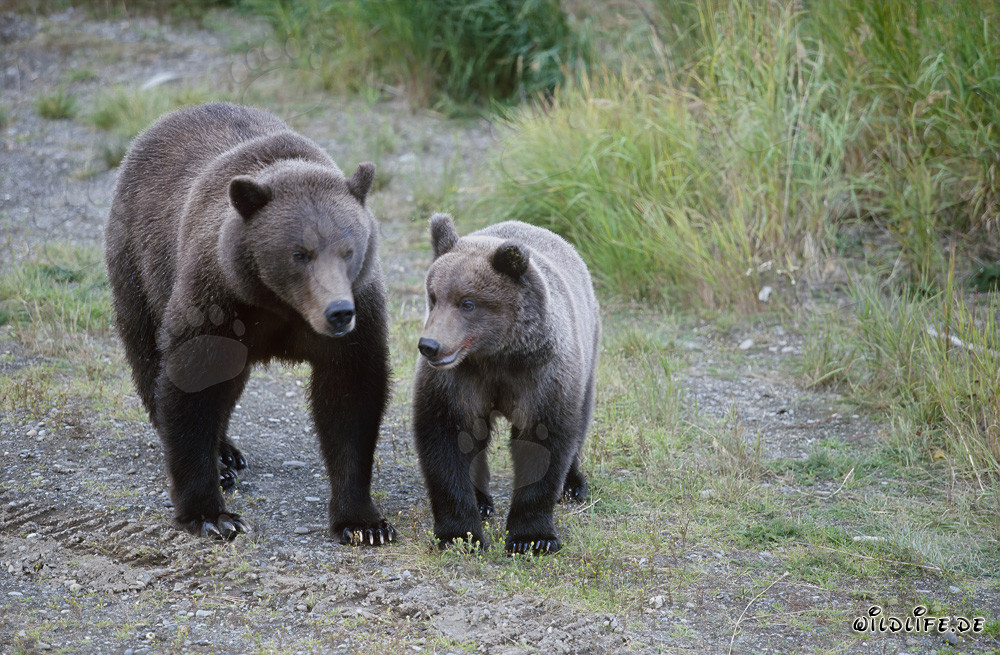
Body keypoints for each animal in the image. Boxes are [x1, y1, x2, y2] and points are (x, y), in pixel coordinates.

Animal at [104, 102, 394, 545]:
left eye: (348, 250)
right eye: (299, 253)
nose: (338, 312)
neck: (279, 304)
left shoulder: (359, 315)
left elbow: (351, 400)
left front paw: (364, 523)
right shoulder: (217, 302)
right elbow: (191, 383)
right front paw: (212, 514)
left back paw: (227, 451)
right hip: (138, 264)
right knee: (147, 355)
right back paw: (221, 459)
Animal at [412, 213, 600, 554]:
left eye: (467, 302)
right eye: (433, 297)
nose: (430, 346)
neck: (496, 354)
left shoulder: (541, 375)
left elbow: (542, 442)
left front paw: (532, 538)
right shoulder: (458, 381)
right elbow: (447, 440)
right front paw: (459, 533)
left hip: (587, 351)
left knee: (580, 418)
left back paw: (573, 484)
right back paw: (481, 500)